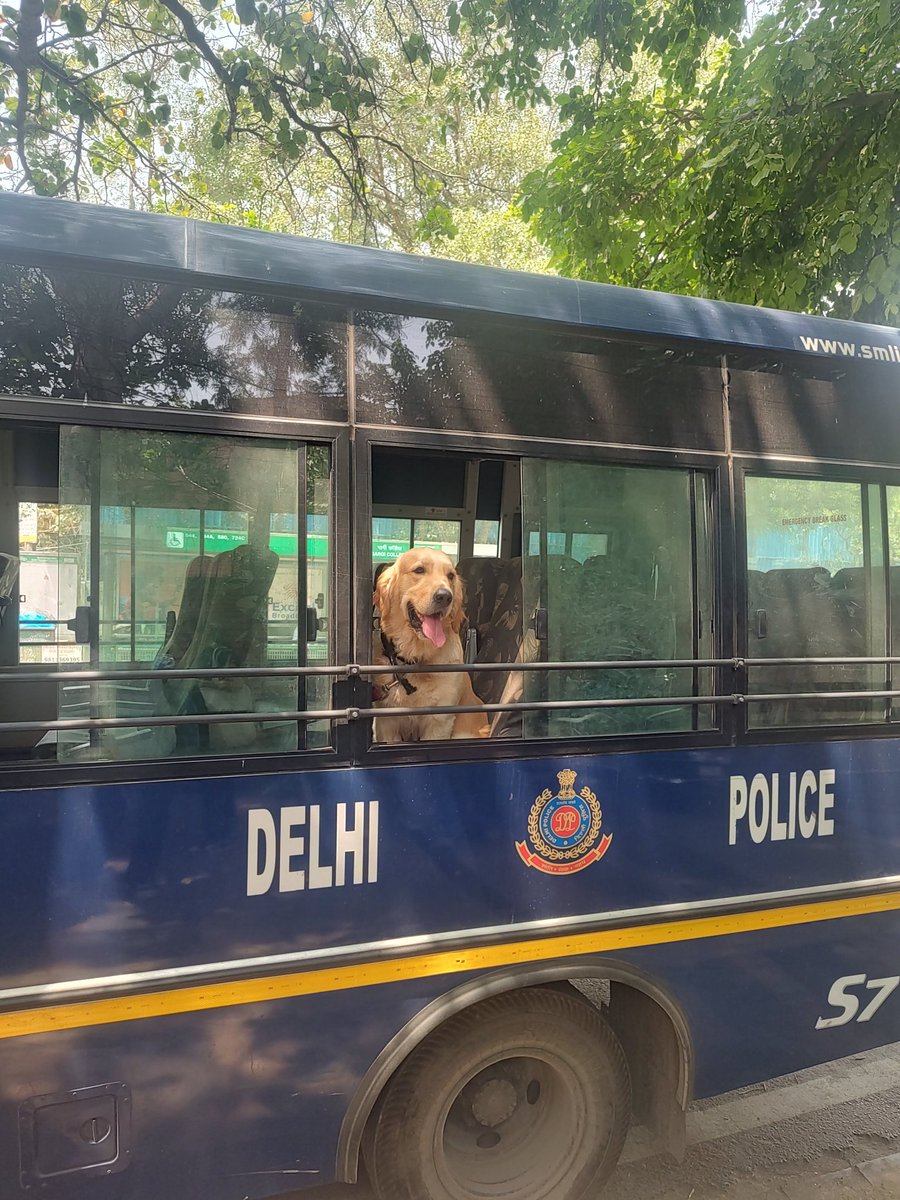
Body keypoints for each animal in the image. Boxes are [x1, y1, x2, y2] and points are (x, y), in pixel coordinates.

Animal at [372, 549, 489, 739]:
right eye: (419, 570)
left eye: (450, 575)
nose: (445, 596)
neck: (416, 658)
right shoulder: (387, 722)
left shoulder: (439, 721)